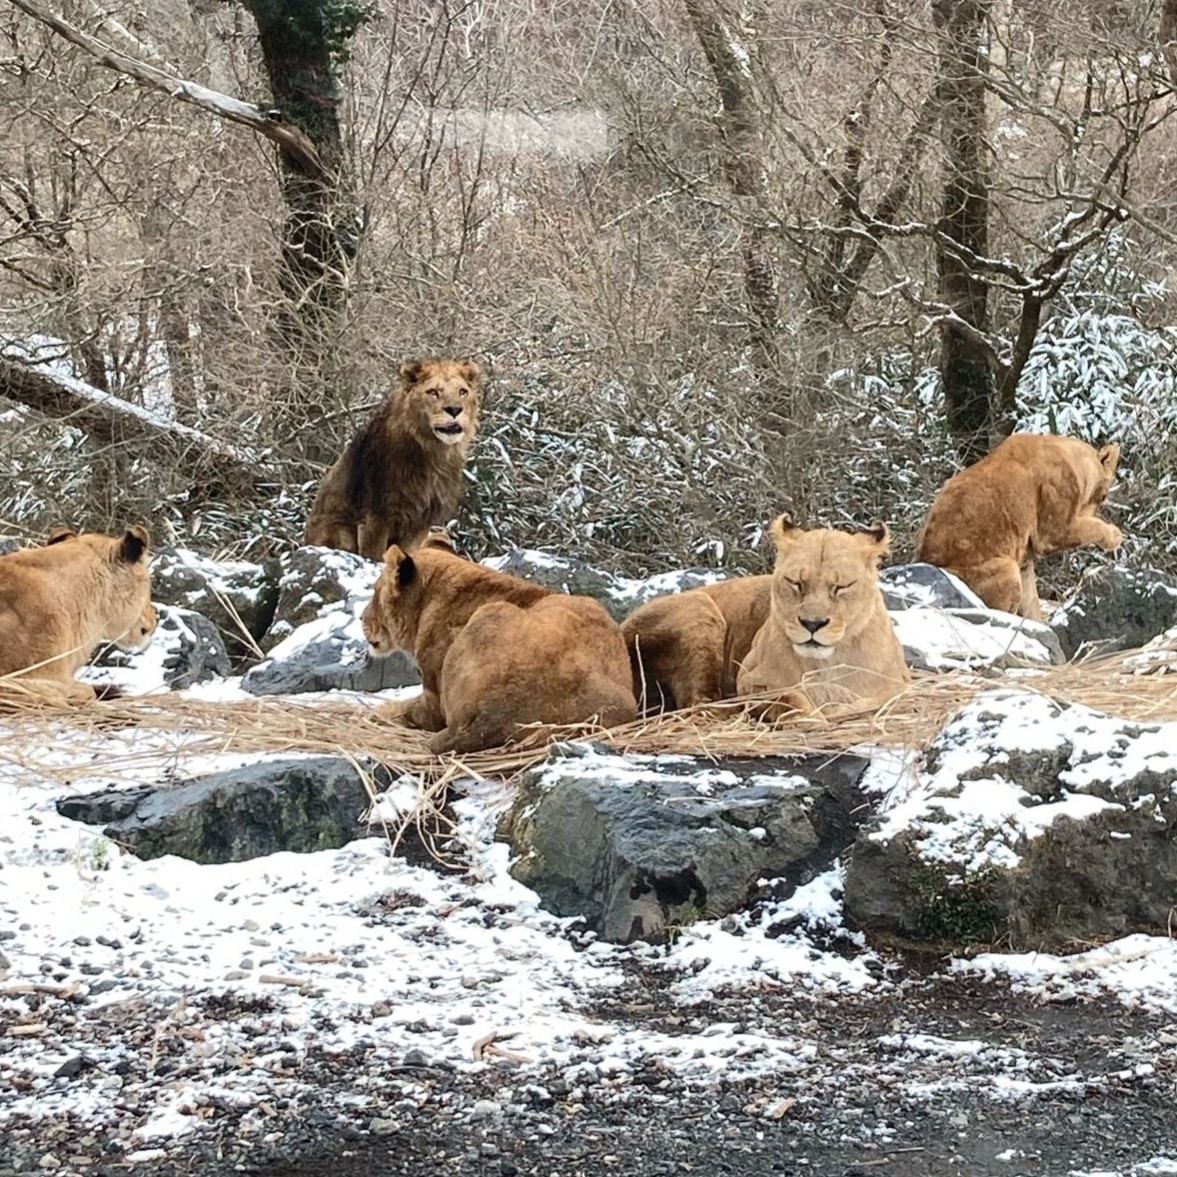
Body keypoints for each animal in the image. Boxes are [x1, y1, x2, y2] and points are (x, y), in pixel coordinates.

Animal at [305, 359, 481, 560]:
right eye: (433, 392)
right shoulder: (376, 516)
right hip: (338, 528)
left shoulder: (420, 522)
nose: (455, 409)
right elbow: (374, 555)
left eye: (462, 392)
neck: (434, 453)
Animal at [362, 546, 637, 754]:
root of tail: (493, 717)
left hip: (490, 613)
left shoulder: (433, 698)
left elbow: (400, 709)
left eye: (375, 592)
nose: (360, 618)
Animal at [736, 515, 910, 712]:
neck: (826, 666)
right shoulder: (748, 681)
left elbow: (877, 700)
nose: (812, 624)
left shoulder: (901, 684)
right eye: (796, 583)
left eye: (842, 586)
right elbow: (790, 695)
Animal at [915, 432, 1122, 620]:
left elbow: (1031, 601)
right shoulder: (1053, 530)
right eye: (1103, 496)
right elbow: (1091, 527)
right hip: (1005, 568)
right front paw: (1115, 536)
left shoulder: (1025, 560)